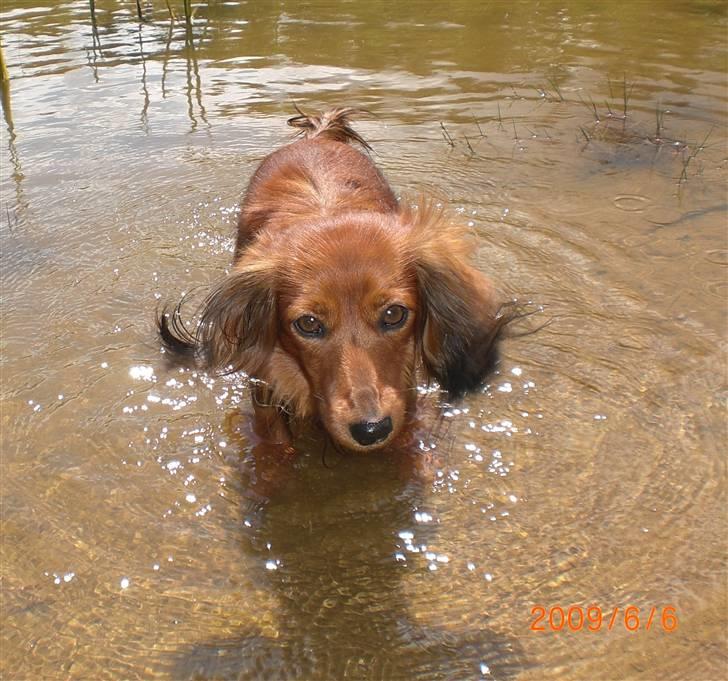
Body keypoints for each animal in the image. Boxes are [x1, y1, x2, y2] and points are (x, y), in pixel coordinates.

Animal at [158, 109, 512, 452]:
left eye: (394, 314)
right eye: (308, 323)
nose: (371, 429)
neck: (326, 214)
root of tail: (316, 138)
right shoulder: (266, 387)